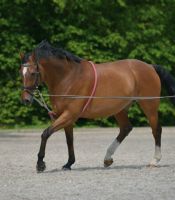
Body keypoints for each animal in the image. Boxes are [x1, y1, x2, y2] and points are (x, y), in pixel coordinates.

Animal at [19, 40, 175, 172]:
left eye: (32, 73)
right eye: (21, 73)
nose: (25, 100)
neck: (68, 77)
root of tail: (150, 67)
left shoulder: (69, 115)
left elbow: (45, 133)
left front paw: (40, 164)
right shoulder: (65, 117)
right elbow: (69, 140)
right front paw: (69, 163)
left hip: (149, 106)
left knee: (156, 130)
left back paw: (154, 160)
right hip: (119, 109)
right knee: (126, 128)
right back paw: (107, 159)